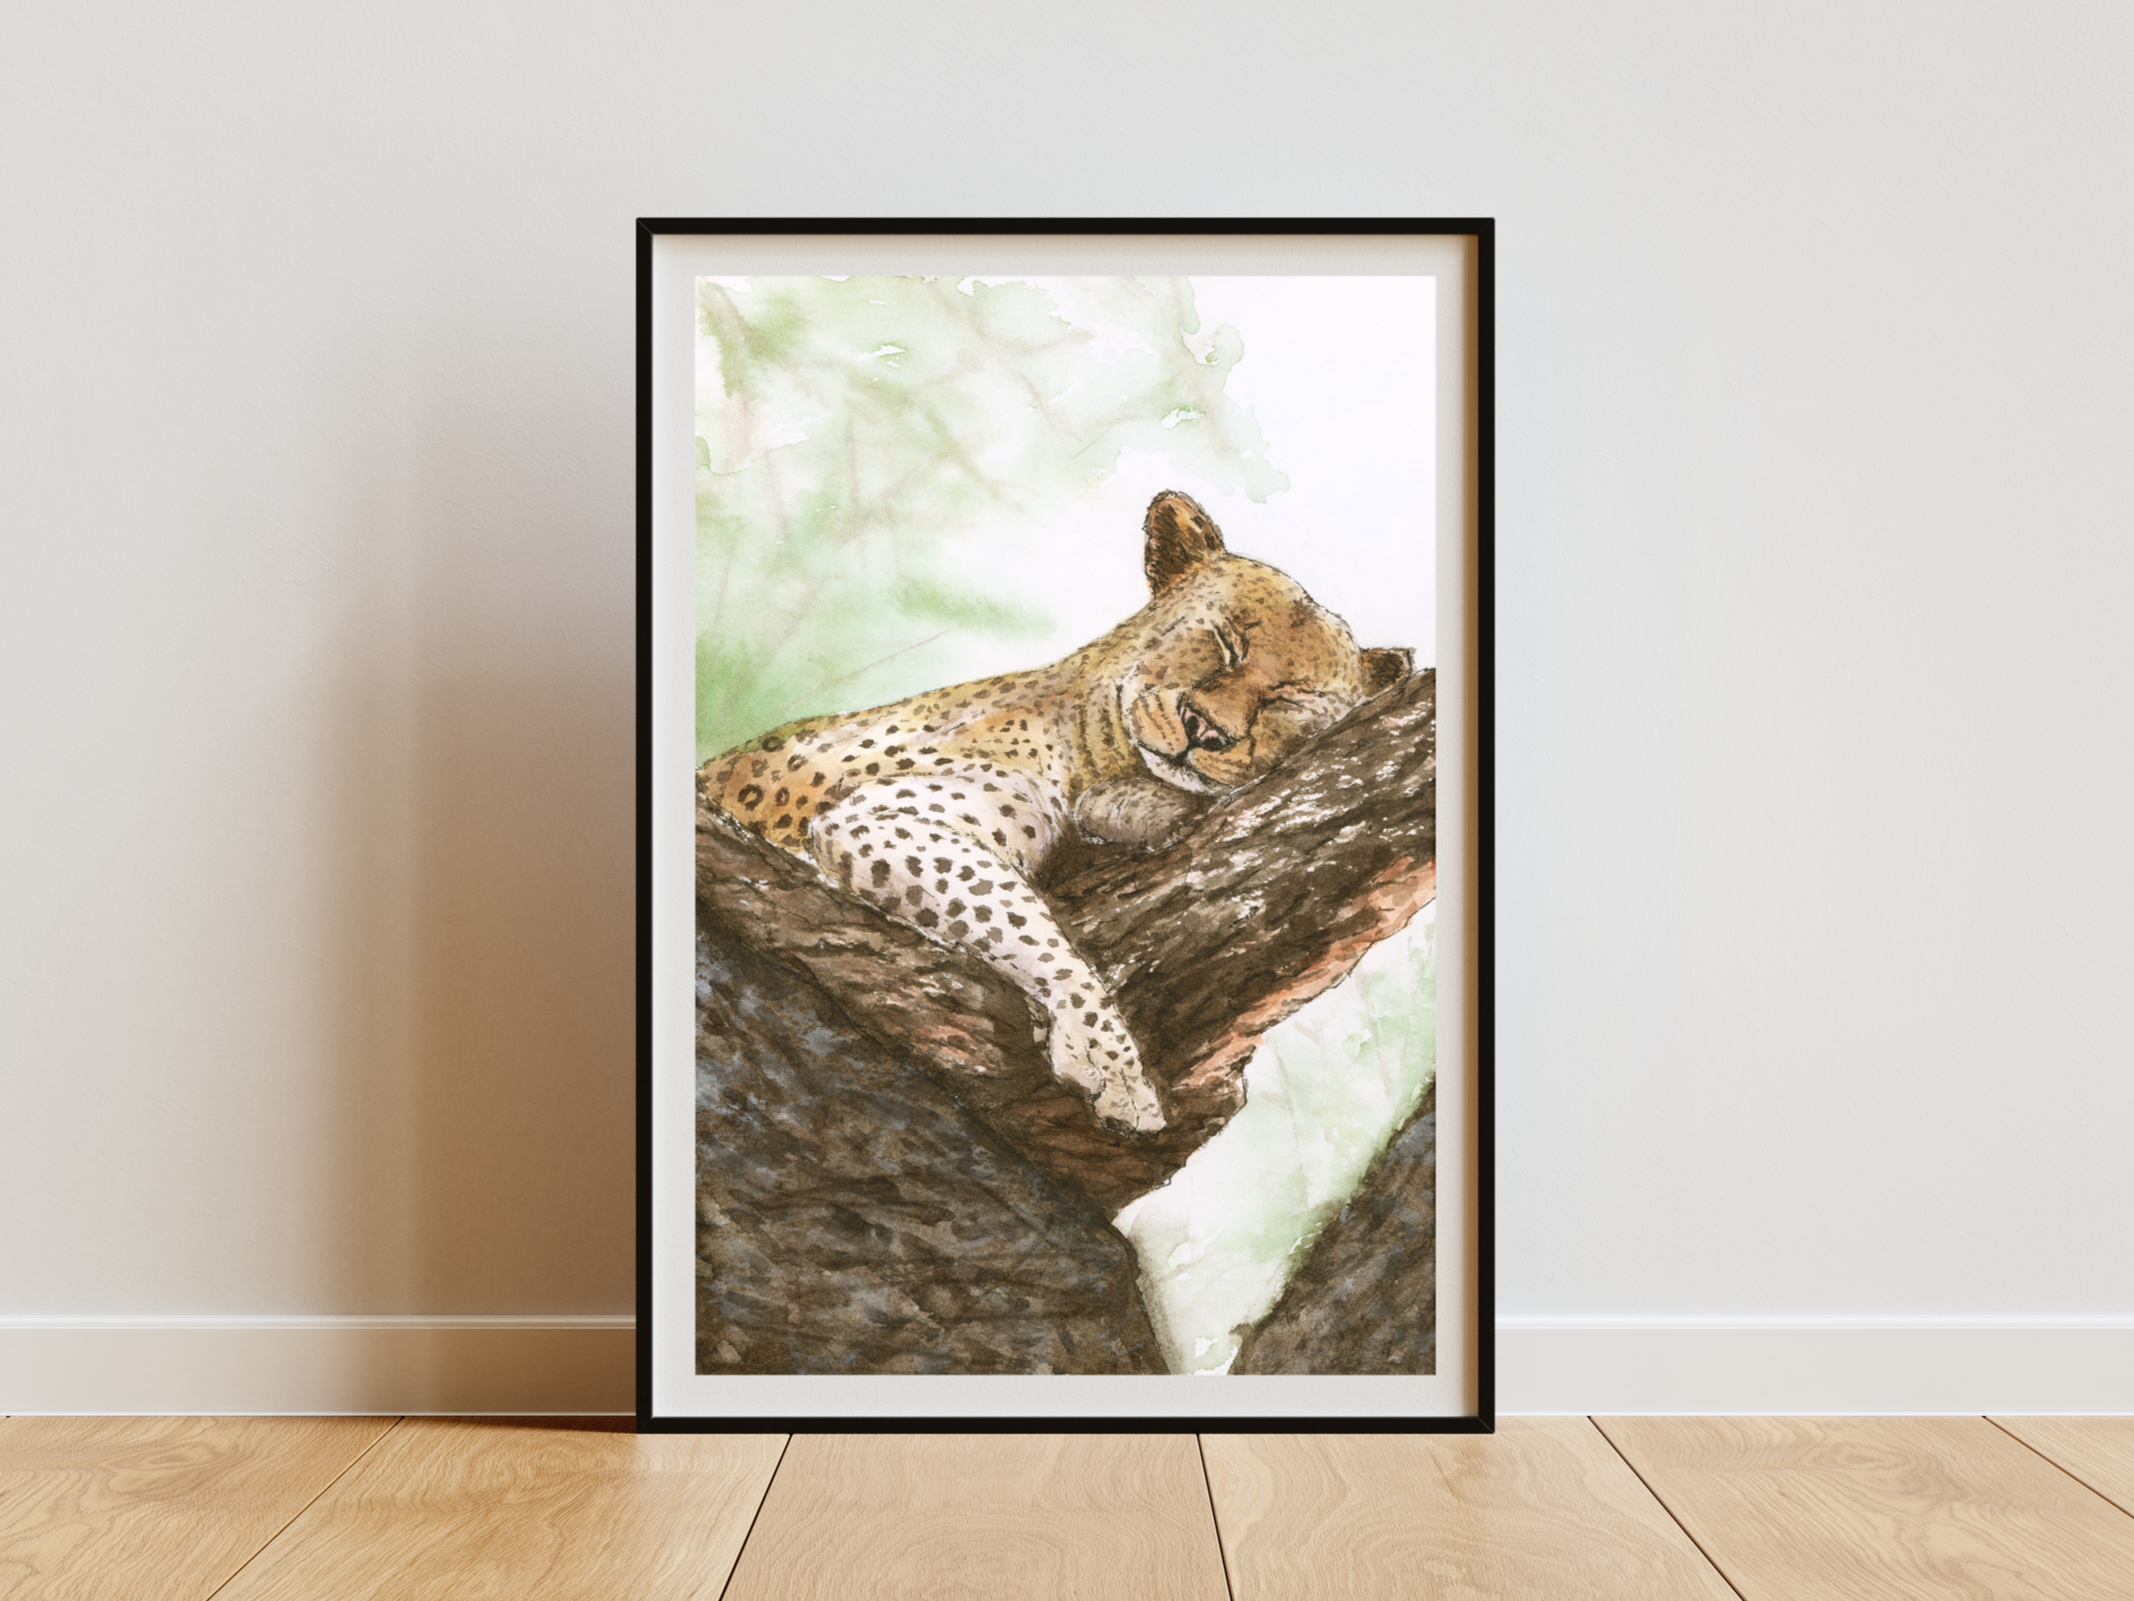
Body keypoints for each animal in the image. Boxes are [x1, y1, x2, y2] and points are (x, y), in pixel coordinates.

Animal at [699, 490, 1412, 1135]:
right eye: (1222, 640)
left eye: (1290, 698)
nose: (1206, 729)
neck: (1097, 747)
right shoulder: (885, 818)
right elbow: (1030, 927)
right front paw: (1114, 1067)